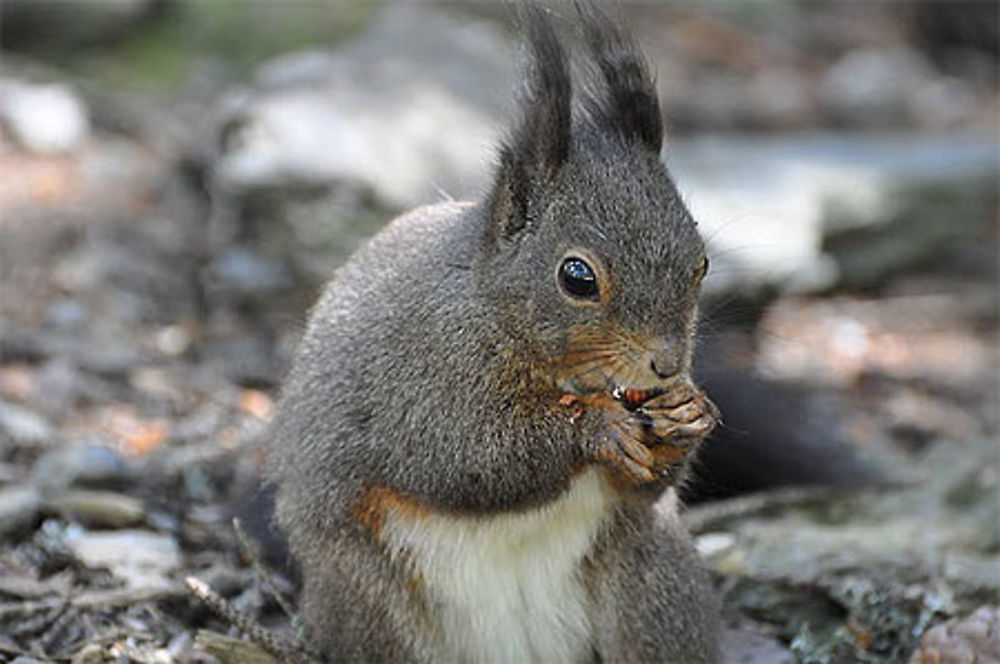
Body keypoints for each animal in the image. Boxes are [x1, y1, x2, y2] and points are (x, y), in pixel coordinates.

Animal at [270, 6, 724, 664]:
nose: (666, 365)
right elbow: (465, 455)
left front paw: (690, 413)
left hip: (653, 575)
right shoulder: (420, 375)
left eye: (702, 262)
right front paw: (594, 428)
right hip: (372, 599)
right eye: (577, 277)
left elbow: (644, 484)